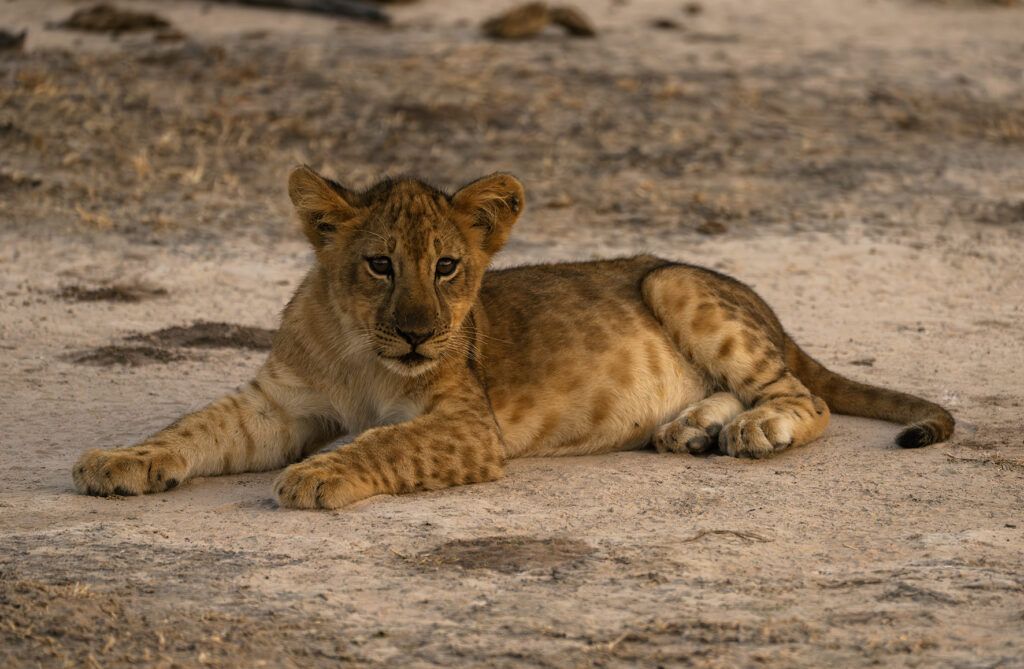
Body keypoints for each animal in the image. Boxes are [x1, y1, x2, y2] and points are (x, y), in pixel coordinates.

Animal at [72, 167, 954, 509]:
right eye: (379, 264)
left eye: (450, 266)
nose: (419, 335)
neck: (361, 352)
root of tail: (770, 307)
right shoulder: (277, 403)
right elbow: (191, 427)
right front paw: (116, 461)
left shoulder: (469, 423)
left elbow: (379, 442)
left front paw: (320, 473)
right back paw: (693, 428)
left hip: (671, 281)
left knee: (801, 394)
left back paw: (755, 429)